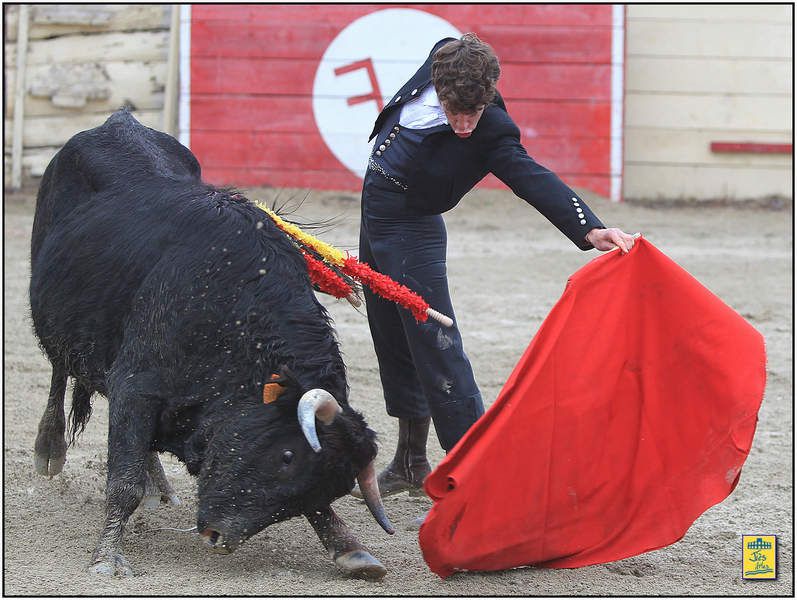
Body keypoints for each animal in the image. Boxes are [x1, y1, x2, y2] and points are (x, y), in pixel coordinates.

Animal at [28, 110, 394, 580]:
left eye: (331, 483)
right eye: (287, 455)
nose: (219, 536)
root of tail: (119, 120)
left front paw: (349, 548)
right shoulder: (137, 384)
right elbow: (123, 480)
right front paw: (107, 557)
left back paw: (158, 485)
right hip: (58, 313)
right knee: (60, 370)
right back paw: (50, 449)